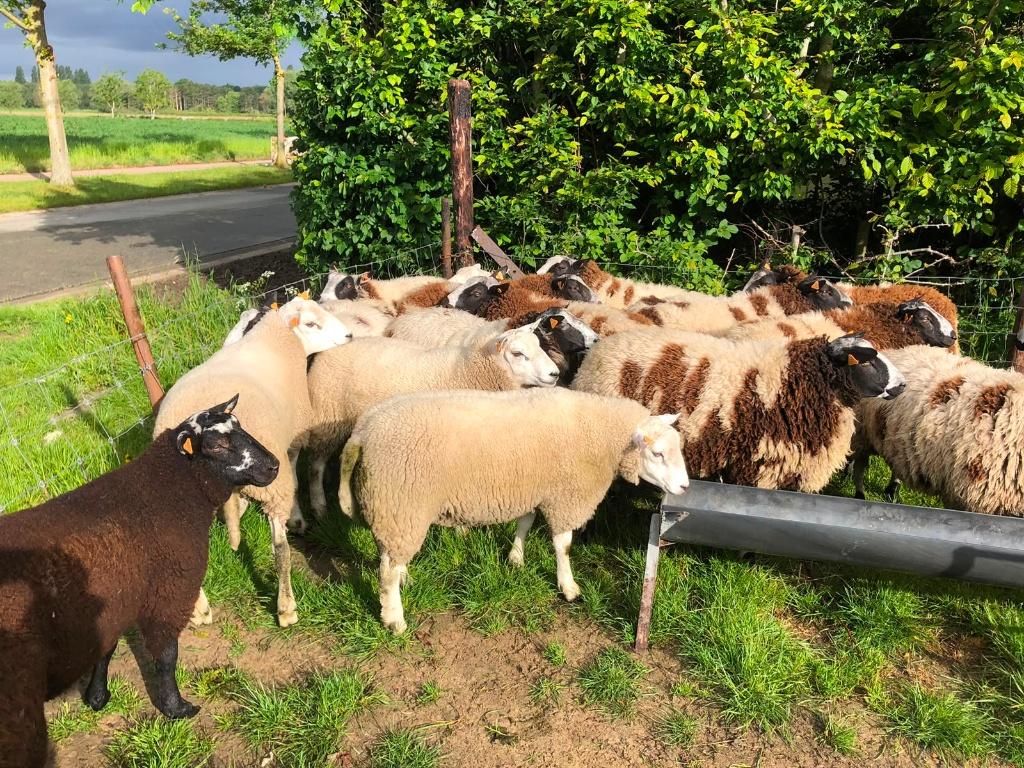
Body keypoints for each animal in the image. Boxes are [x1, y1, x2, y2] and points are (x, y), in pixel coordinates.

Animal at [0, 396, 279, 768]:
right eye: (217, 445)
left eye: (240, 425)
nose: (274, 466)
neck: (173, 487)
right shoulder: (168, 593)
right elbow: (167, 655)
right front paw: (177, 708)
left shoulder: (115, 601)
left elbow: (106, 650)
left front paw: (97, 696)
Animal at [154, 297, 352, 628]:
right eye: (311, 323)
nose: (350, 335)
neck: (275, 340)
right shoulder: (290, 442)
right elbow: (294, 479)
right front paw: (297, 518)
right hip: (271, 479)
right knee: (281, 551)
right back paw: (286, 608)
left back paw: (198, 609)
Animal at [303, 327, 562, 520]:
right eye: (518, 353)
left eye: (539, 345)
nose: (555, 374)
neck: (472, 369)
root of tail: (329, 349)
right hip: (327, 416)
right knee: (314, 466)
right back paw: (318, 507)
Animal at [337, 387, 688, 633]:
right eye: (657, 453)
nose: (685, 486)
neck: (600, 434)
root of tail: (363, 431)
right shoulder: (565, 497)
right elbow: (563, 546)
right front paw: (569, 587)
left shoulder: (530, 488)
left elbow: (525, 522)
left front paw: (515, 558)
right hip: (401, 504)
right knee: (386, 570)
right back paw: (394, 619)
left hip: (399, 511)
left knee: (392, 558)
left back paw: (404, 580)